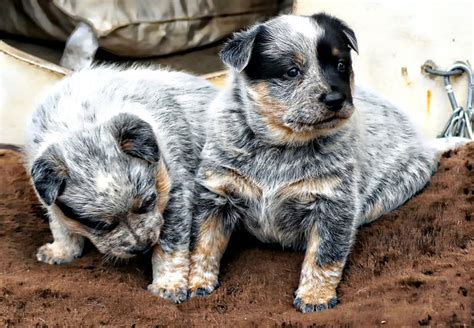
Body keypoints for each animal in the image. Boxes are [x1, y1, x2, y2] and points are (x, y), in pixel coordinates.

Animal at [25, 66, 217, 304]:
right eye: (99, 225)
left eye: (148, 203)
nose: (142, 247)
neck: (80, 123)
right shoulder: (49, 199)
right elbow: (61, 226)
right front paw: (61, 251)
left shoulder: (177, 193)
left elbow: (170, 247)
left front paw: (168, 285)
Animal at [187, 13, 468, 312]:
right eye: (292, 71)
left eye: (341, 65)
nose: (336, 98)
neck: (281, 146)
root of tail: (424, 145)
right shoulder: (216, 192)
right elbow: (203, 243)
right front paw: (195, 283)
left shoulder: (334, 201)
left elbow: (325, 254)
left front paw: (315, 296)